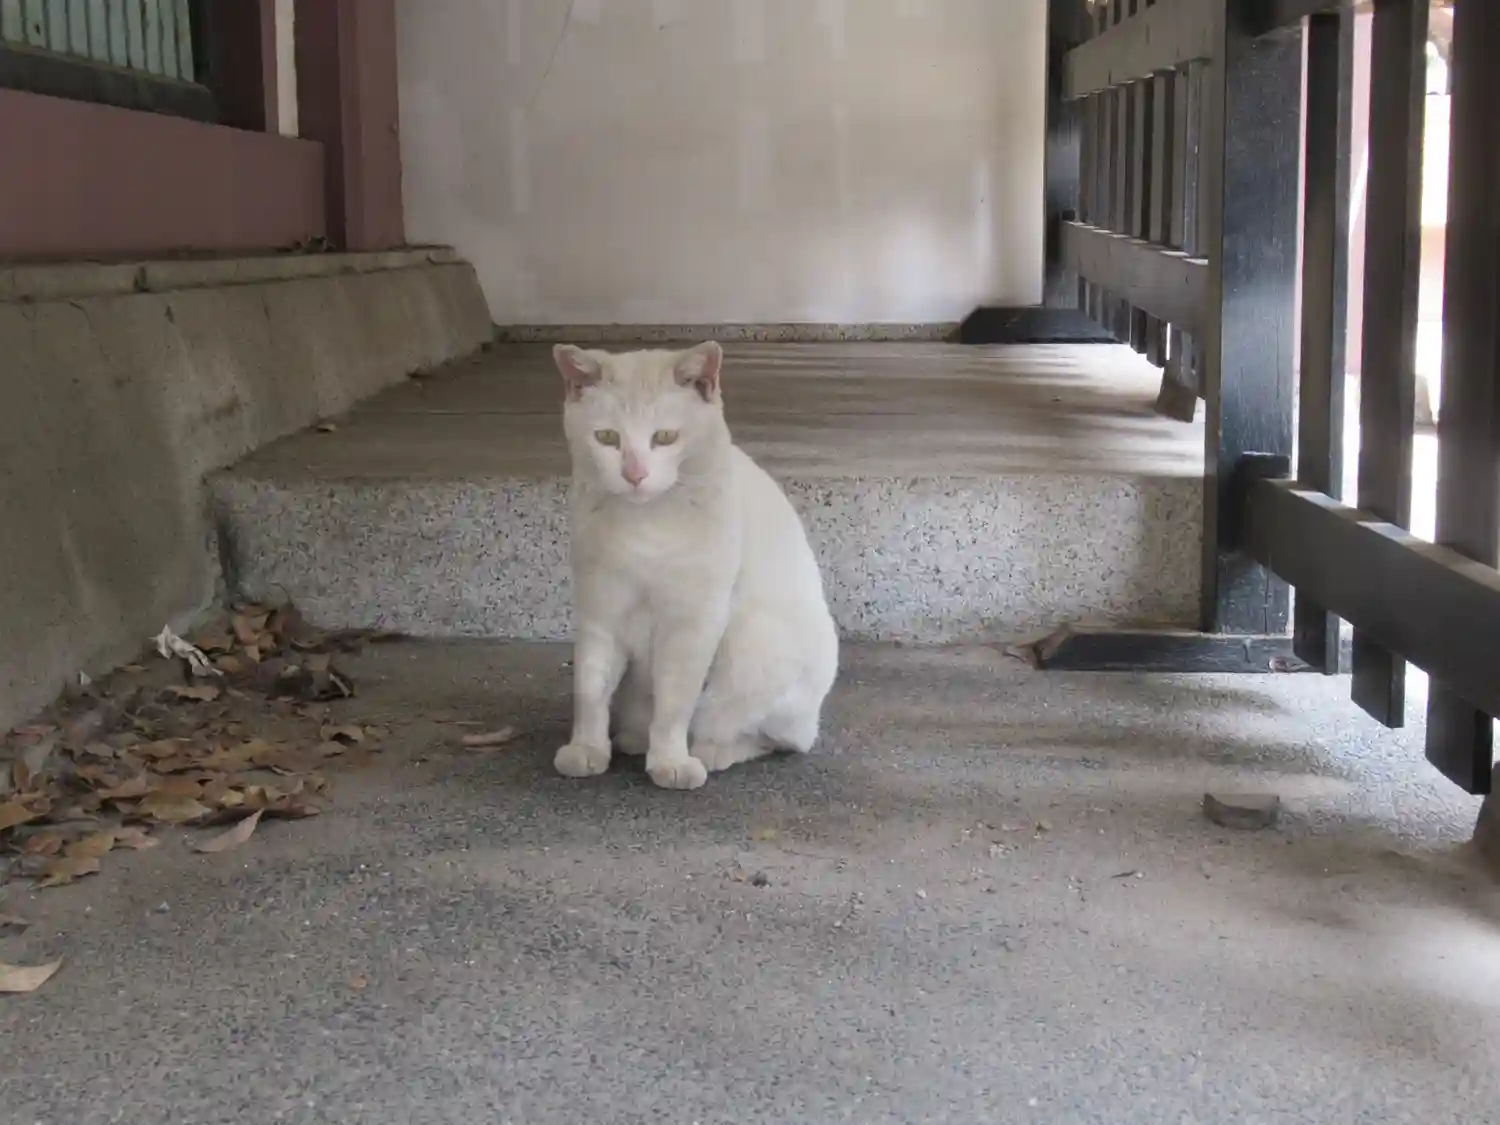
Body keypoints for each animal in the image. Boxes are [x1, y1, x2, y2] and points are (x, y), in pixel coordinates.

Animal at [551, 340, 839, 790]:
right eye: (607, 438)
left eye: (665, 437)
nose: (634, 474)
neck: (645, 525)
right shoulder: (600, 611)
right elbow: (590, 690)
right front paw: (586, 751)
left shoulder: (692, 622)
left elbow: (675, 700)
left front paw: (670, 761)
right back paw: (633, 738)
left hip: (753, 642)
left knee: (771, 738)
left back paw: (710, 751)